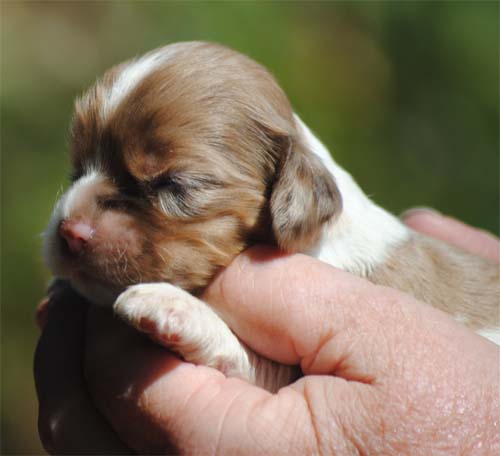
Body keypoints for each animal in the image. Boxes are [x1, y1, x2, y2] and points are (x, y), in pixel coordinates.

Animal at [43, 41, 500, 392]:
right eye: (76, 168)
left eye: (172, 185)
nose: (68, 232)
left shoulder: (291, 372)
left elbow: (248, 359)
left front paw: (172, 306)